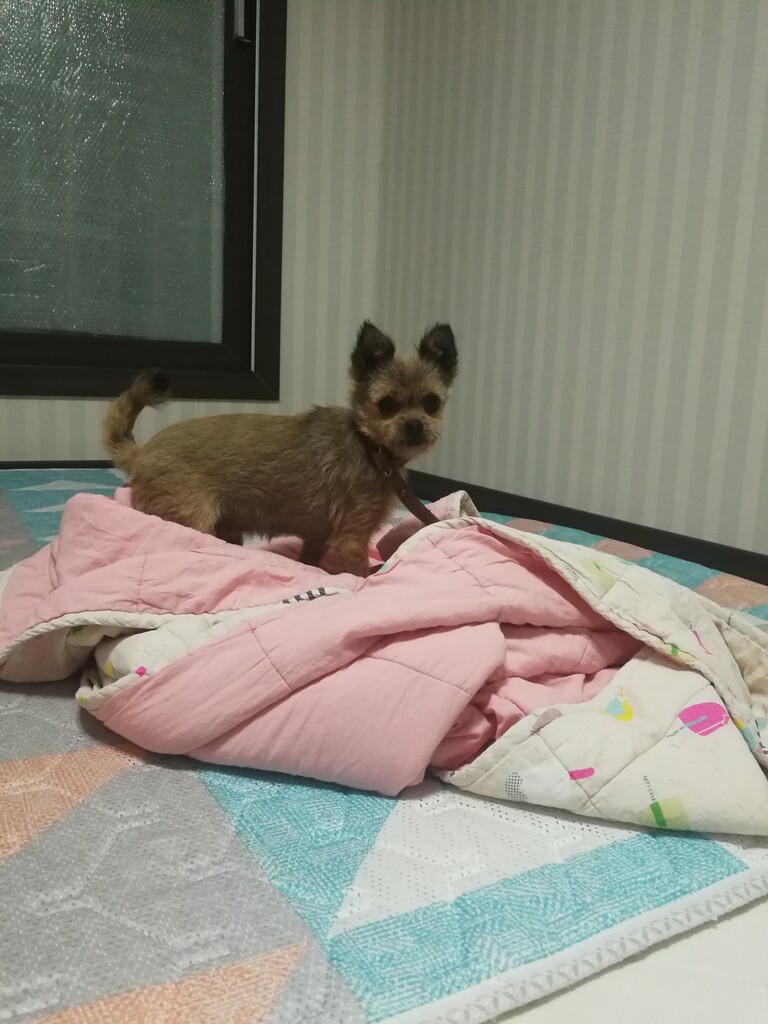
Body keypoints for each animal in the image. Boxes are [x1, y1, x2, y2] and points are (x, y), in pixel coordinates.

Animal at [102, 321, 458, 576]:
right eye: (386, 405)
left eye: (431, 403)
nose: (414, 425)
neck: (372, 450)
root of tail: (141, 453)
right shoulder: (351, 539)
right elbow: (361, 574)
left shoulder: (317, 535)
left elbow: (310, 559)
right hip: (191, 521)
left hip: (226, 529)